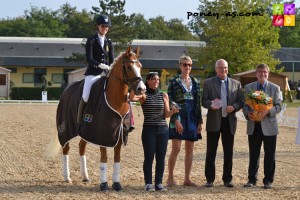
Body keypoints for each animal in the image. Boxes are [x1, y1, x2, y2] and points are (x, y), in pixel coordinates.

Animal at [47, 46, 146, 191]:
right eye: (128, 67)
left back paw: (85, 177)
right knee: (66, 148)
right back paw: (67, 177)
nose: (142, 89)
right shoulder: (102, 134)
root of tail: (66, 90)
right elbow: (104, 158)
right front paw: (104, 184)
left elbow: (117, 159)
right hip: (65, 129)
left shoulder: (119, 133)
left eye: (140, 66)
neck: (116, 100)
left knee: (81, 147)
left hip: (85, 132)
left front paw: (116, 184)